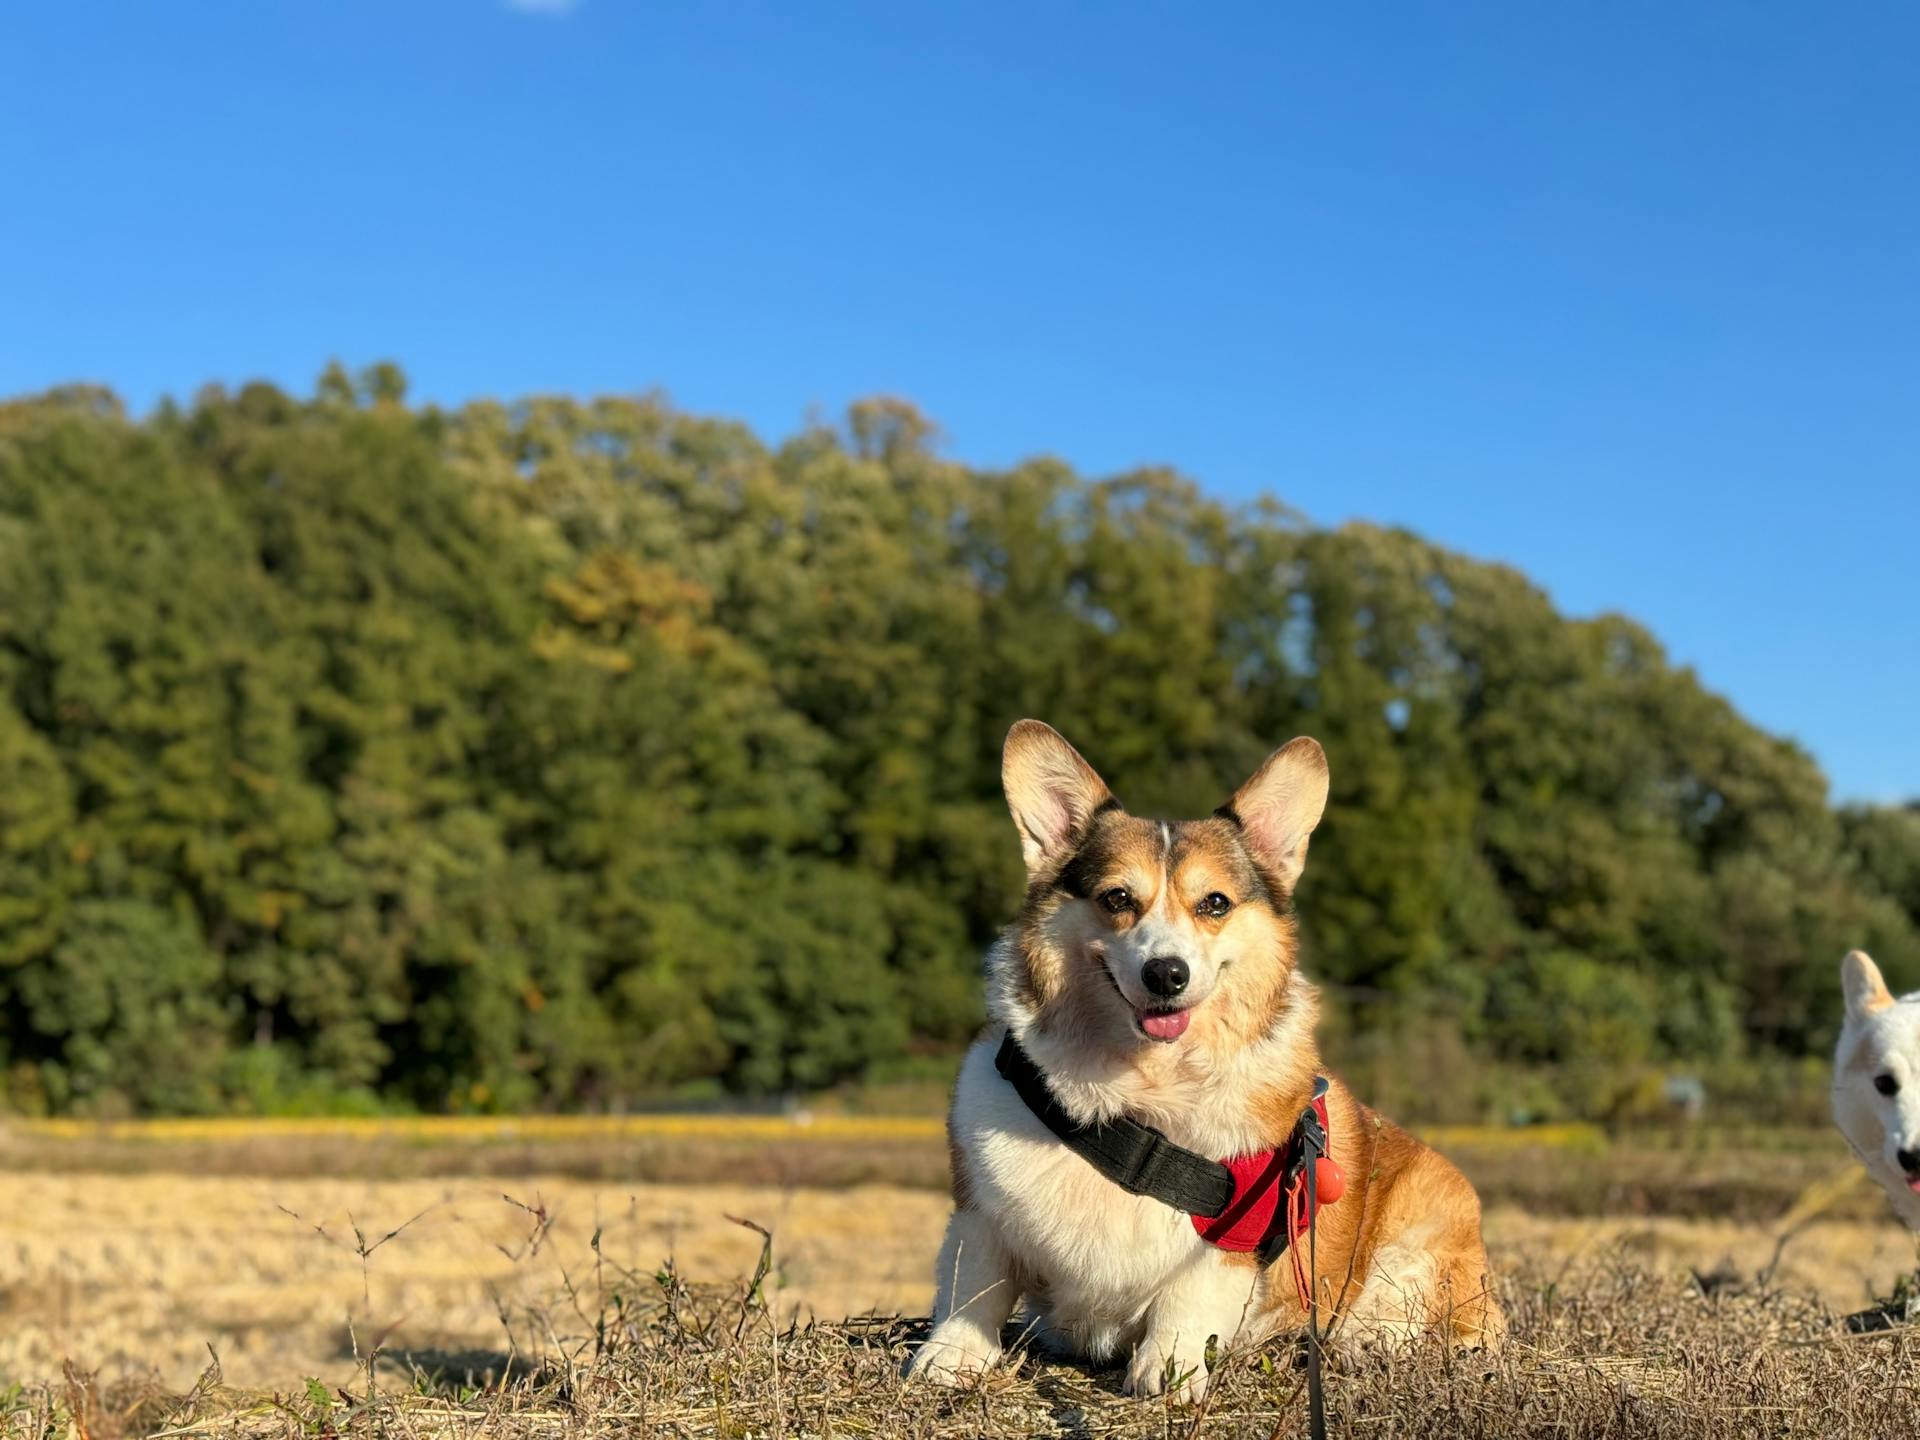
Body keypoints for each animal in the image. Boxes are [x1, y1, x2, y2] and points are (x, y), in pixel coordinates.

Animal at [906, 725, 1505, 1405]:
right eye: (1117, 898)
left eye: (1214, 903)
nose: (1166, 974)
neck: (1139, 1096)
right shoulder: (980, 1212)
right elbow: (973, 1280)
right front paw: (950, 1357)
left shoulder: (1234, 1237)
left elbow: (1188, 1296)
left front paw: (1167, 1368)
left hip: (1424, 1237)